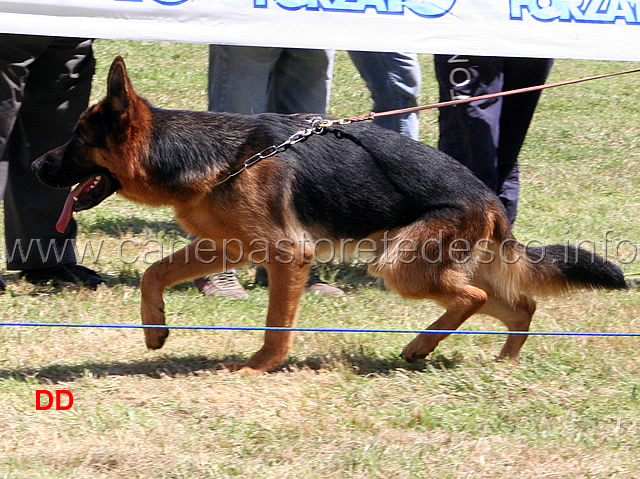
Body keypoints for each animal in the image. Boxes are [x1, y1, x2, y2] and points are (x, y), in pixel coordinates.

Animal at [32, 58, 628, 376]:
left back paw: (421, 345)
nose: (36, 165)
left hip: (400, 266)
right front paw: (155, 329)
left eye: (78, 139)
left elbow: (277, 324)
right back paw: (501, 361)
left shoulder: (286, 257)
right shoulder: (224, 248)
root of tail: (488, 197)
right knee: (520, 303)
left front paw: (259, 366)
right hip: (433, 263)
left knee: (478, 297)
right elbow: (155, 273)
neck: (211, 156)